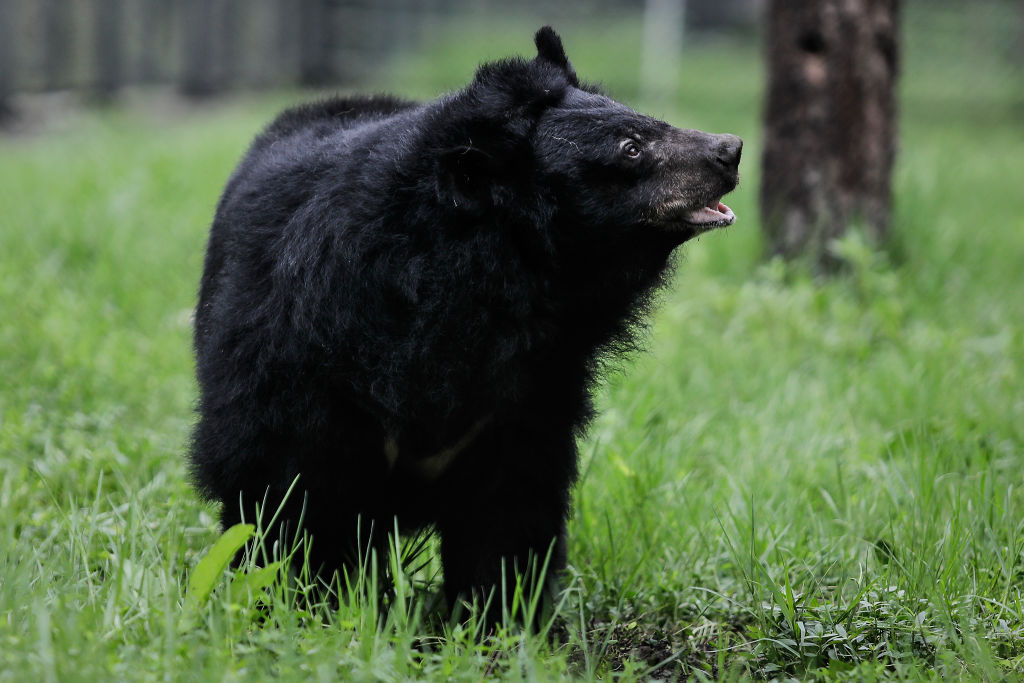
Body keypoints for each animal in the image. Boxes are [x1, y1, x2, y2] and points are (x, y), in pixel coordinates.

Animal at [188, 28, 741, 618]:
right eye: (630, 148)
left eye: (646, 119)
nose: (731, 149)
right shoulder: (299, 367)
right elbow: (287, 497)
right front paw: (298, 604)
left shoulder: (524, 401)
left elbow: (508, 516)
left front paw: (499, 617)